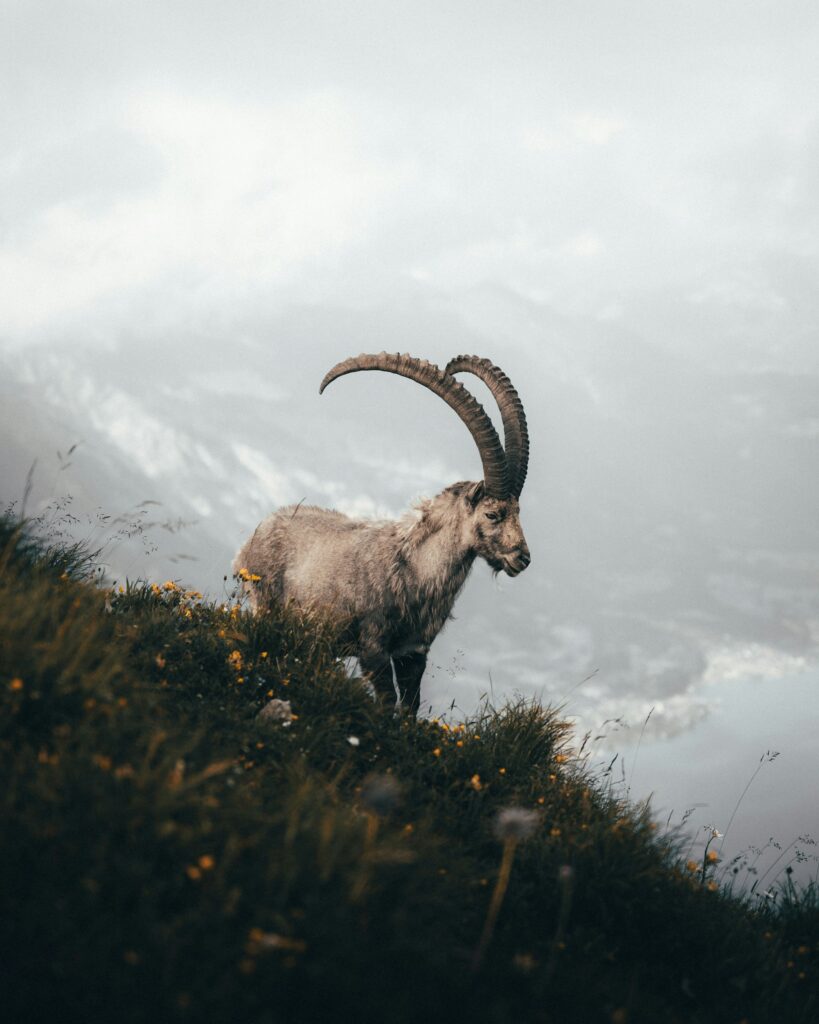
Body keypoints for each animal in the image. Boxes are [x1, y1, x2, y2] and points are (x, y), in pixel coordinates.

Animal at [233, 352, 530, 715]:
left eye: (518, 512)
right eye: (492, 514)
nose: (523, 558)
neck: (415, 570)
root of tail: (255, 536)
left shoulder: (413, 653)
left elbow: (409, 708)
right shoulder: (373, 648)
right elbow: (387, 703)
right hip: (266, 606)